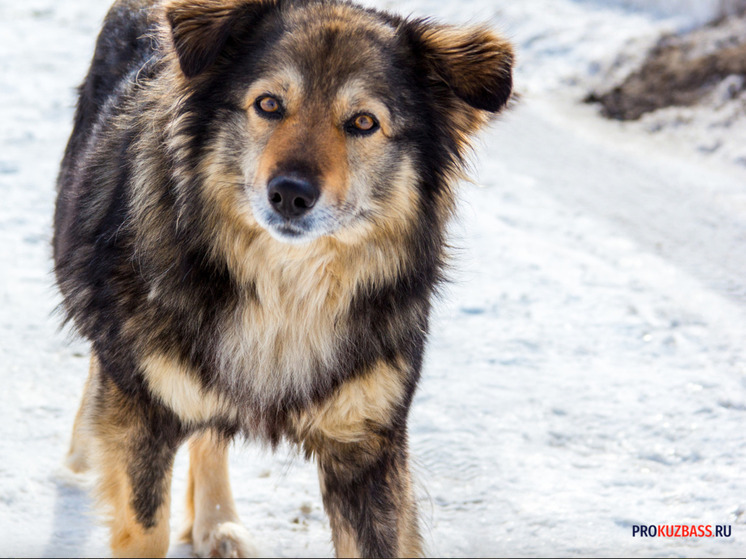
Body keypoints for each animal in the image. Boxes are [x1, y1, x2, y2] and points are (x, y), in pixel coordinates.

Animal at [52, 0, 512, 556]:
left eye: (363, 122)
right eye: (269, 104)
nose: (291, 194)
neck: (285, 291)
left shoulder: (365, 445)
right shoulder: (144, 411)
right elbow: (146, 525)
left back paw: (217, 522)